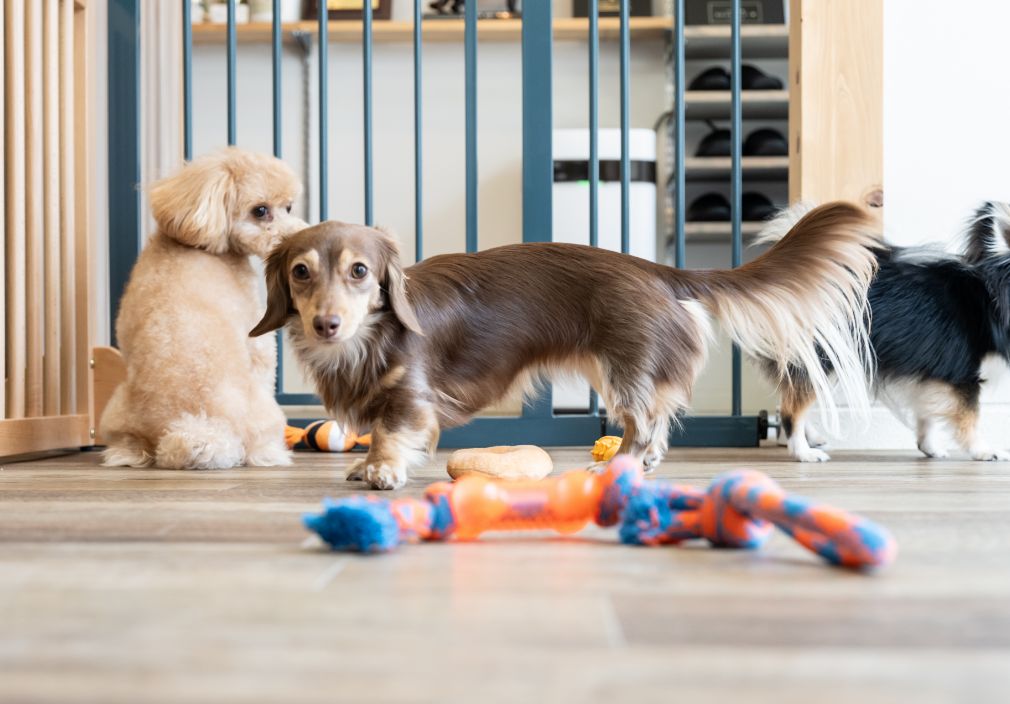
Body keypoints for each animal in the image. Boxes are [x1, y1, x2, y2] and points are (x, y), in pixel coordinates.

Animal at [103, 146, 309, 468]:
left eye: (289, 207)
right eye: (261, 210)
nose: (296, 238)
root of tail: (193, 428)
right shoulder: (258, 344)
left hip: (118, 408)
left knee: (127, 444)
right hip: (267, 414)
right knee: (258, 446)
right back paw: (275, 452)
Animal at [250, 202, 876, 488]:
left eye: (359, 271)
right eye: (301, 272)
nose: (327, 324)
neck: (364, 340)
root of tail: (657, 271)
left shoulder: (412, 399)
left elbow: (389, 431)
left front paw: (381, 468)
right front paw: (364, 467)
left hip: (623, 370)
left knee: (642, 424)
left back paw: (618, 466)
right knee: (657, 421)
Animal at [763, 199, 1010, 460]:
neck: (987, 300)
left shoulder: (934, 374)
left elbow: (928, 414)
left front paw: (930, 447)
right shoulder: (961, 376)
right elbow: (970, 418)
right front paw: (984, 451)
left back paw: (812, 438)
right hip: (825, 357)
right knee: (792, 409)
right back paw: (803, 452)